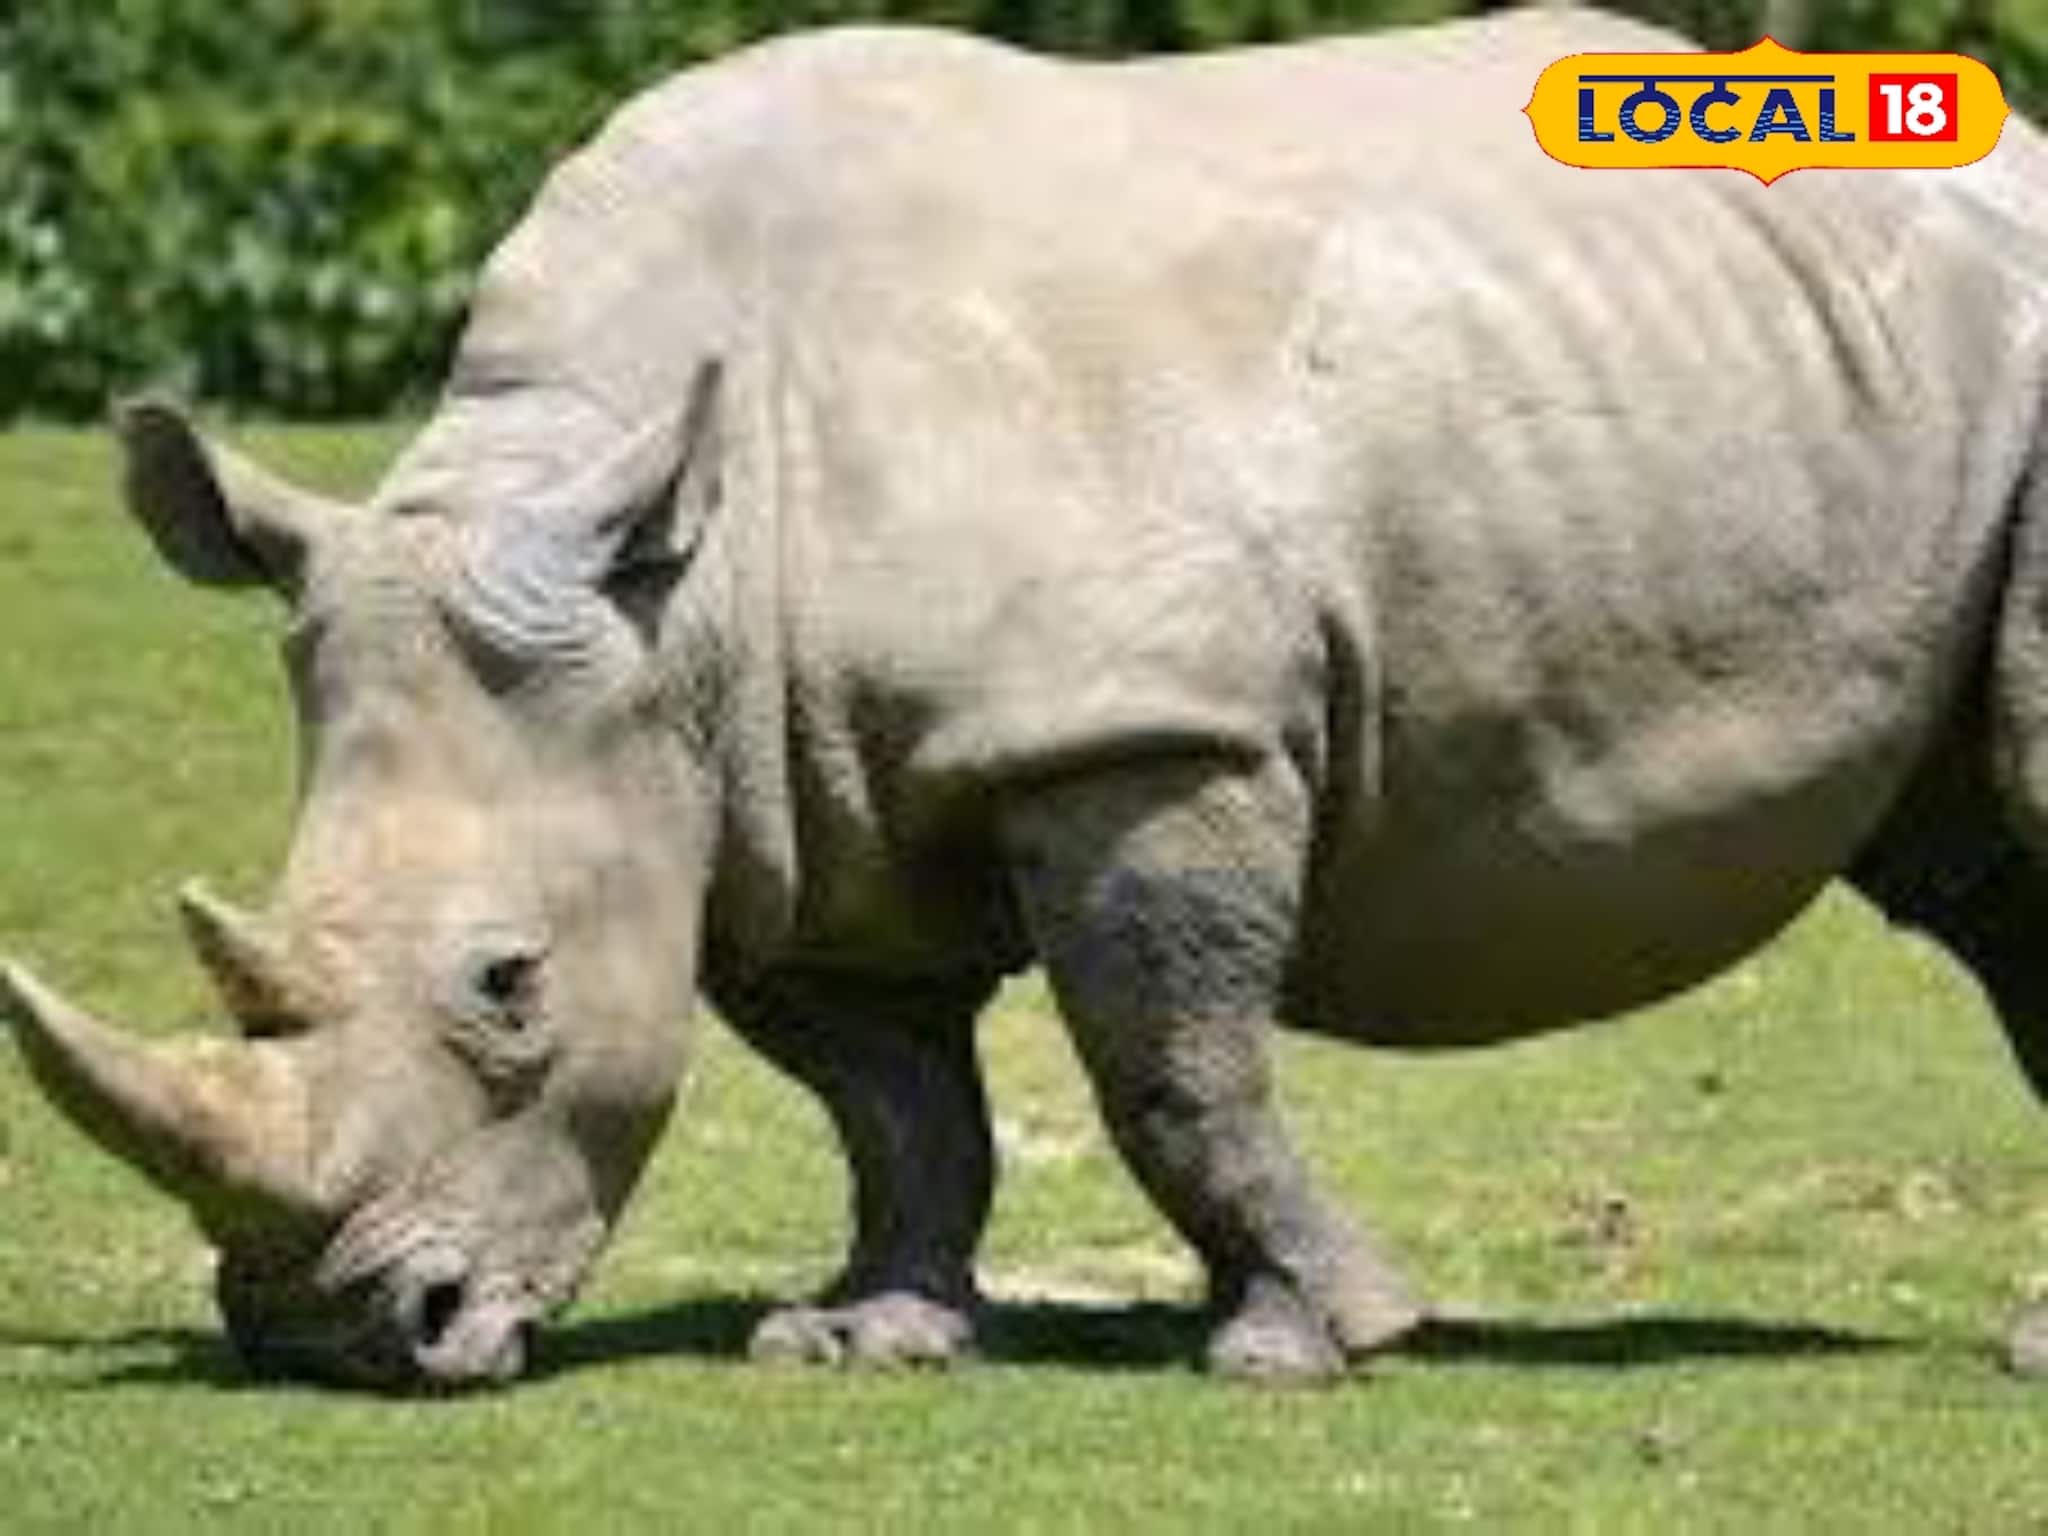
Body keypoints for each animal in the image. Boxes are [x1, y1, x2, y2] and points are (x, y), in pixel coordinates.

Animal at [7, 8, 2048, 1388]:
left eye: (509, 988)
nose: (333, 1336)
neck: (685, 582)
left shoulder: (1141, 726)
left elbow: (1176, 1069)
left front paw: (1310, 1347)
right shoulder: (767, 798)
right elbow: (896, 1103)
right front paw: (861, 1336)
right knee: (1988, 876)